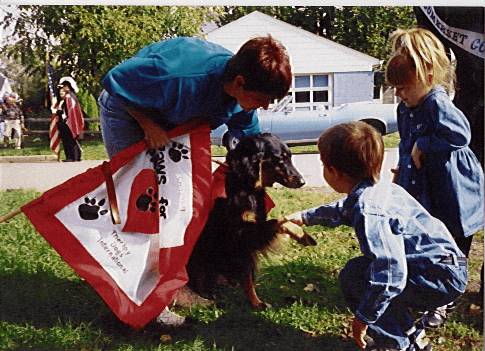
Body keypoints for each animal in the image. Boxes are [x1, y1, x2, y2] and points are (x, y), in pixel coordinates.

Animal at [186, 133, 318, 310]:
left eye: (290, 157)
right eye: (280, 159)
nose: (302, 181)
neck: (245, 185)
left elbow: (247, 275)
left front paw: (255, 301)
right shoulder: (240, 235)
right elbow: (278, 221)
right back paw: (207, 293)